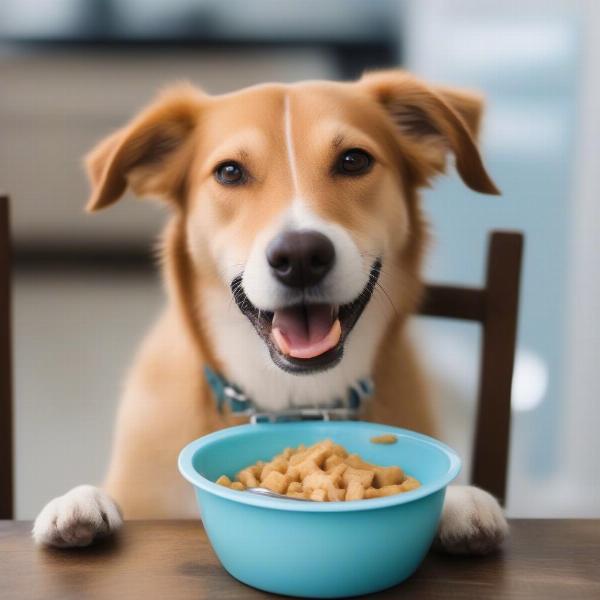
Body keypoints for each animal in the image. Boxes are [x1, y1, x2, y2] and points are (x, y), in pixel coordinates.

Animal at [32, 69, 508, 552]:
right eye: (229, 171)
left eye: (354, 160)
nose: (300, 257)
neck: (291, 395)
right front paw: (80, 502)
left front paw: (461, 499)